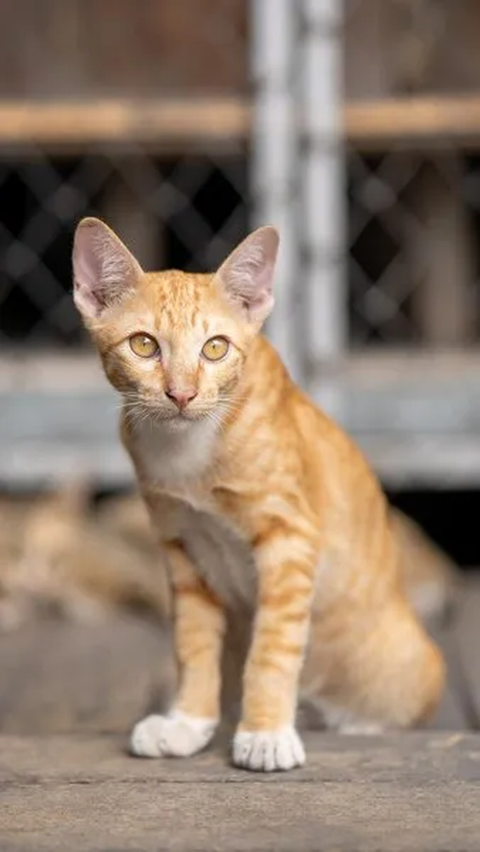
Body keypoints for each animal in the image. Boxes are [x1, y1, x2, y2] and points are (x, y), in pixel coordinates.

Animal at [72, 218, 446, 772]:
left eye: (215, 348)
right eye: (143, 345)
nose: (181, 394)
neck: (187, 453)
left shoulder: (290, 538)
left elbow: (272, 648)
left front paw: (265, 731)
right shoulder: (181, 546)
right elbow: (193, 645)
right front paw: (188, 722)